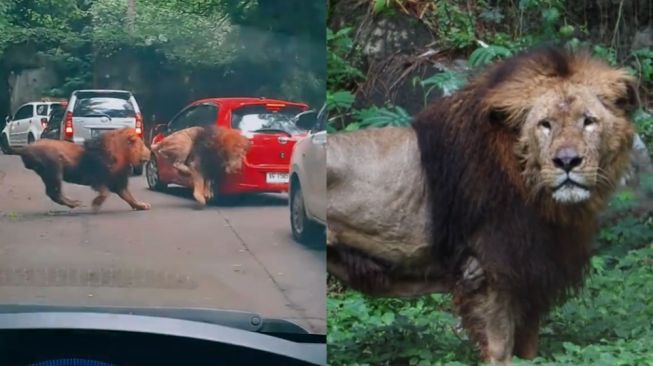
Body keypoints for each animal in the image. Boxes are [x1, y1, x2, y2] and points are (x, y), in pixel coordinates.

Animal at [17, 128, 152, 212]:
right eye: (141, 145)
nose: (150, 152)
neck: (121, 155)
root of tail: (26, 148)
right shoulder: (98, 177)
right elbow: (105, 192)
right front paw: (96, 204)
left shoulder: (118, 181)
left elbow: (129, 197)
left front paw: (141, 205)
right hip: (53, 169)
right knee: (54, 193)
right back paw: (74, 203)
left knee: (54, 193)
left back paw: (73, 203)